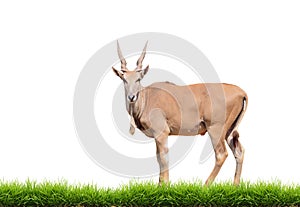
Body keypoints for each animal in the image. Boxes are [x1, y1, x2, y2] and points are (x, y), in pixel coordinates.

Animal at [111, 41, 247, 185]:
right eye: (124, 79)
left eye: (138, 79)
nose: (131, 97)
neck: (147, 97)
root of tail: (241, 92)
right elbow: (159, 158)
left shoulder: (162, 133)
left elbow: (163, 159)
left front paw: (165, 186)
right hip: (229, 131)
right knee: (239, 152)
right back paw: (235, 185)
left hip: (215, 129)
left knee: (221, 154)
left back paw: (205, 186)